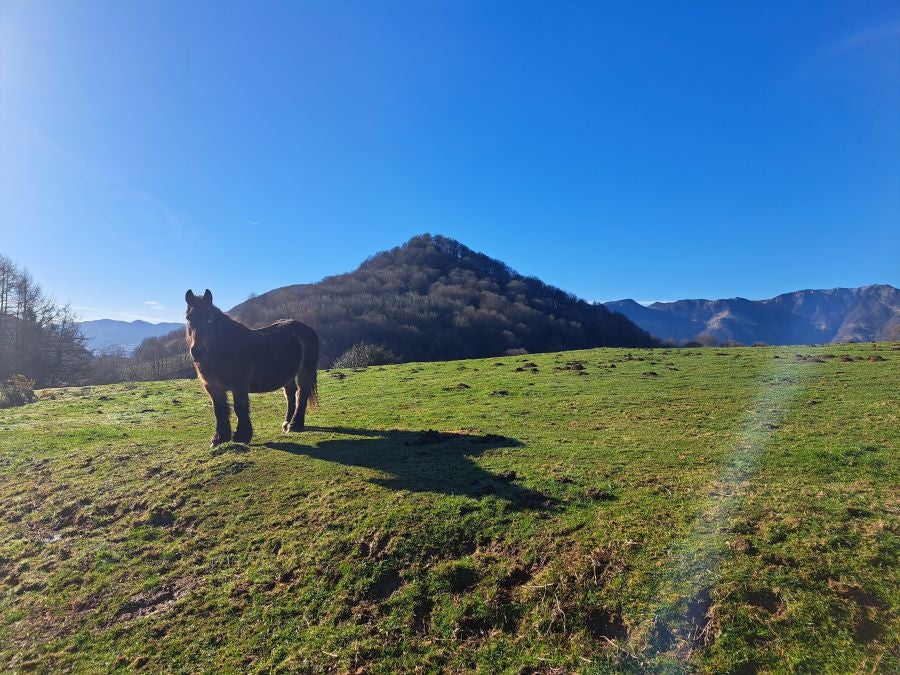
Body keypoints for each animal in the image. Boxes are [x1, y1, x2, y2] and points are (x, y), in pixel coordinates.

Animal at [185, 288, 322, 446]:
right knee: (290, 395)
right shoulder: (213, 387)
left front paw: (242, 436)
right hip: (288, 375)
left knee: (302, 394)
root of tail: (309, 330)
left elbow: (240, 407)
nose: (198, 351)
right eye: (188, 318)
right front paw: (219, 438)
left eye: (210, 318)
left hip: (305, 371)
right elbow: (219, 410)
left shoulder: (239, 384)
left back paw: (295, 425)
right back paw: (286, 423)